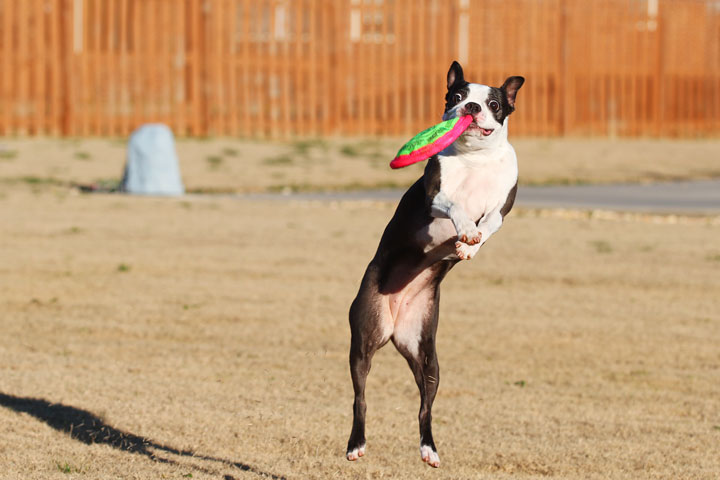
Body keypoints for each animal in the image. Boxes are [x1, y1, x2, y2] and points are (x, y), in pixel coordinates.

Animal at [344, 61, 520, 468]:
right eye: (456, 95)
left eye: (494, 103)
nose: (470, 107)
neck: (475, 160)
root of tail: (394, 322)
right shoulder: (435, 198)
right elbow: (456, 207)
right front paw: (465, 229)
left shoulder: (503, 209)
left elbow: (488, 224)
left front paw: (469, 245)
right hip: (364, 338)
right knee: (361, 398)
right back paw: (356, 444)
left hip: (427, 356)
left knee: (425, 406)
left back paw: (429, 449)